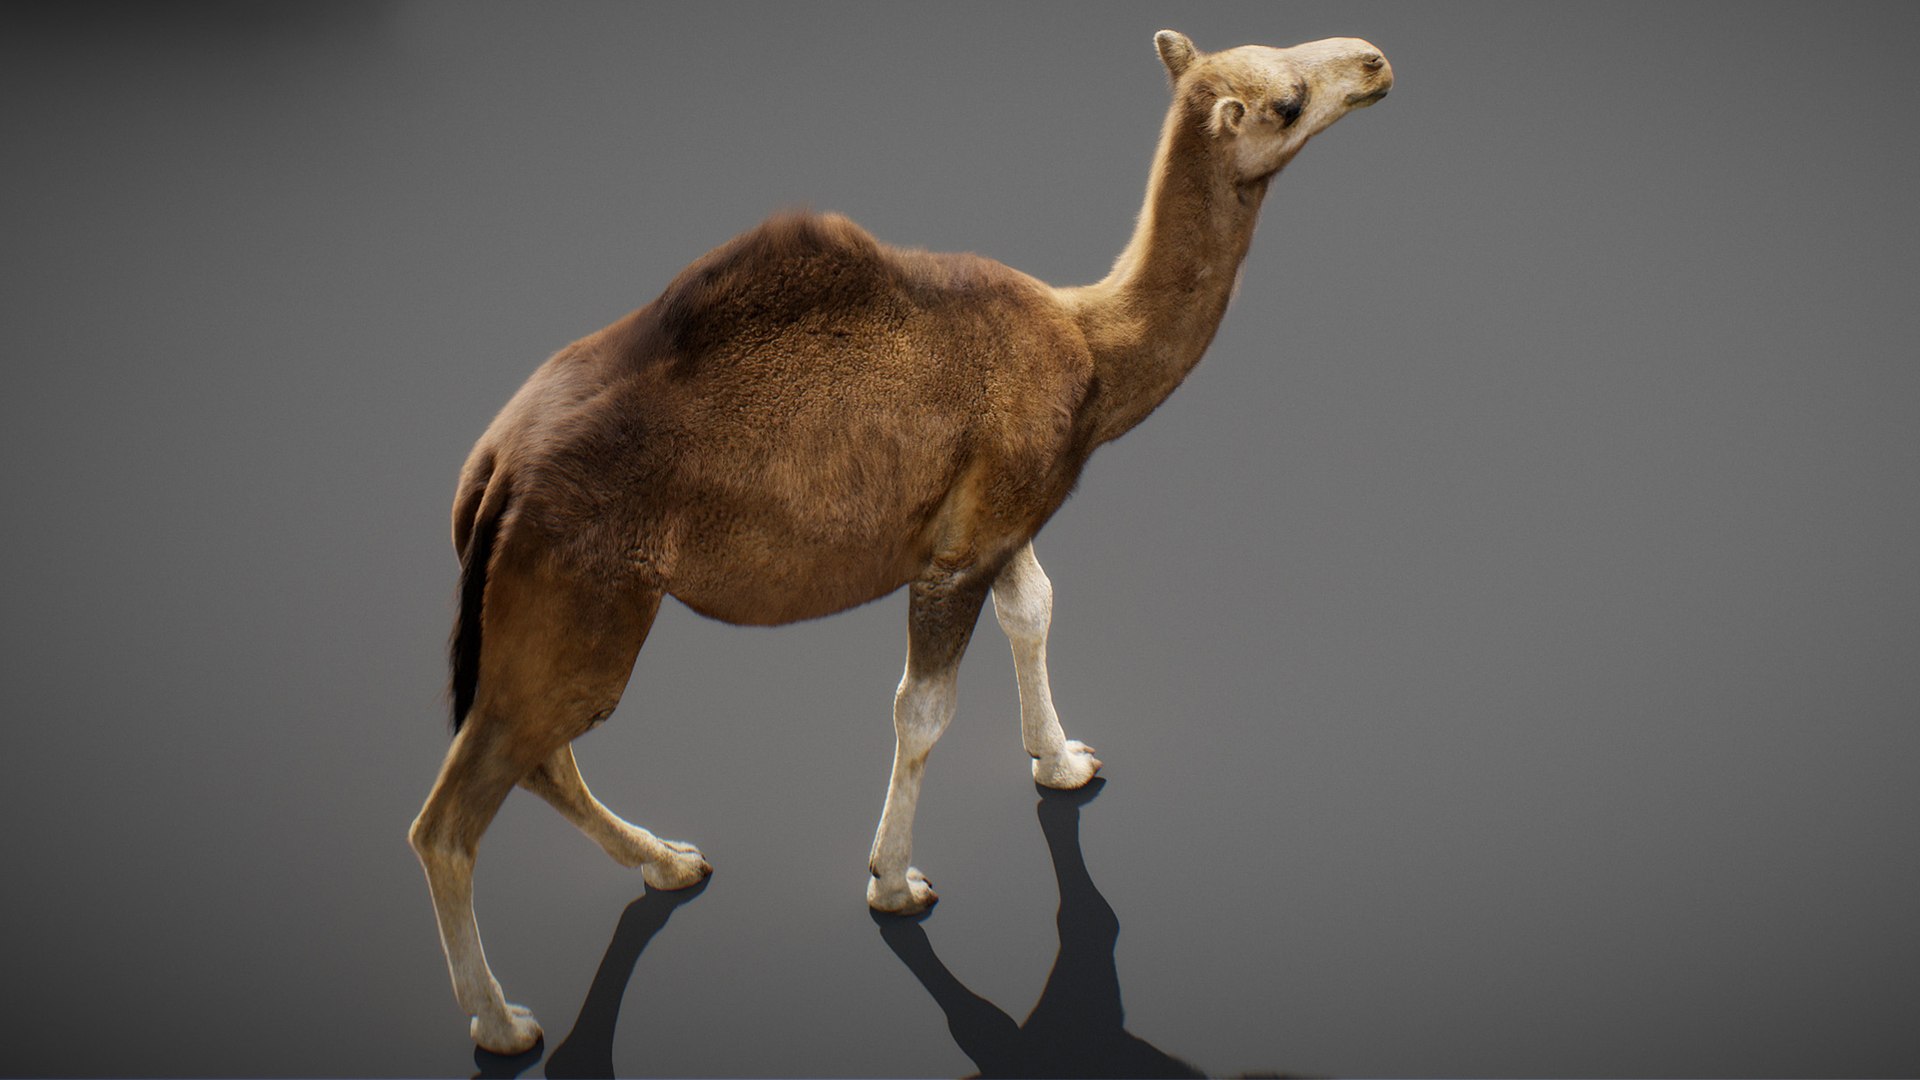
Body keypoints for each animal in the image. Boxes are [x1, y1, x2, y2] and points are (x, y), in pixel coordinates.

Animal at [410, 29, 1392, 1054]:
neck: (1091, 346)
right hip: (576, 592)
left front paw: (1063, 763)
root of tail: (494, 471)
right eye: (1288, 98)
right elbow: (922, 709)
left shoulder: (1003, 519)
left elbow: (1035, 612)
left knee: (542, 758)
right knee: (457, 813)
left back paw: (671, 863)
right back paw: (502, 1022)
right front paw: (893, 883)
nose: (1372, 61)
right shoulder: (957, 552)